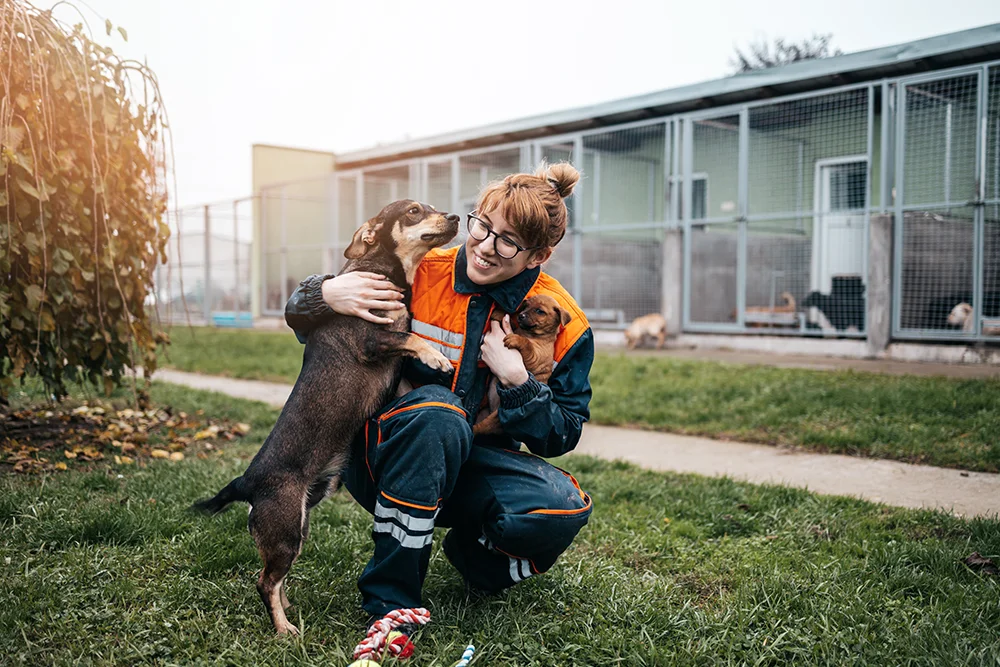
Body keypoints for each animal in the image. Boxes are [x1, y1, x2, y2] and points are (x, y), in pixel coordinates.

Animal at [190, 200, 458, 636]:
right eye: (415, 211)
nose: (454, 218)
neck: (381, 269)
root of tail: (246, 483)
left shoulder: (393, 366)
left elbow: (408, 358)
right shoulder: (372, 341)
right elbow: (411, 337)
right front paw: (436, 356)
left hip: (298, 528)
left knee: (275, 578)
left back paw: (288, 610)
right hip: (285, 530)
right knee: (264, 581)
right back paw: (284, 630)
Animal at [470, 294, 568, 436]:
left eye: (540, 311)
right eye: (525, 306)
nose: (521, 315)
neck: (531, 334)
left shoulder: (533, 359)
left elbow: (526, 344)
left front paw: (515, 339)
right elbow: (510, 321)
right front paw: (499, 313)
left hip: (496, 418)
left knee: (481, 427)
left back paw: (471, 428)